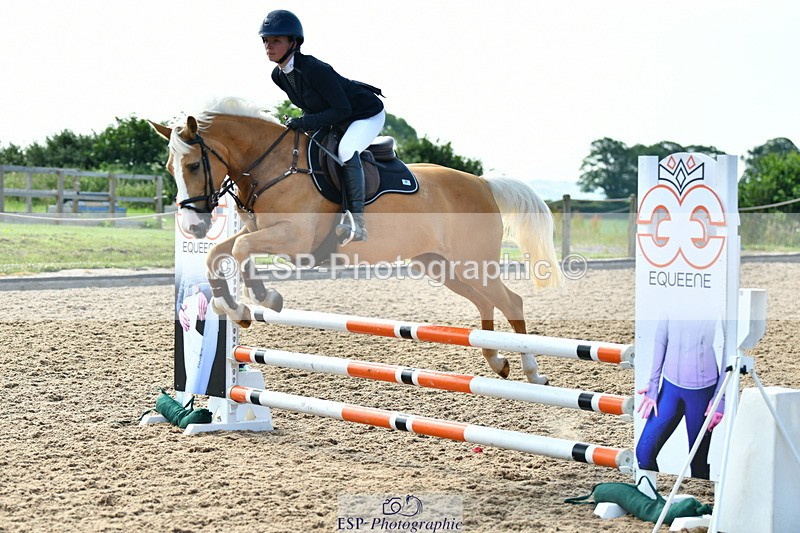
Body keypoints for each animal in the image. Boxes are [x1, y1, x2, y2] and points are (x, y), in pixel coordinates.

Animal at [151, 96, 562, 384]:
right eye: (170, 168)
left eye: (193, 165)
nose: (193, 227)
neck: (273, 166)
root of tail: (483, 183)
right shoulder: (259, 231)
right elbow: (219, 254)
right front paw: (236, 308)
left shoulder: (295, 240)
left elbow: (238, 250)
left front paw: (265, 297)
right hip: (442, 266)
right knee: (486, 302)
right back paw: (498, 361)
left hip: (472, 262)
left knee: (511, 301)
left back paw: (532, 372)